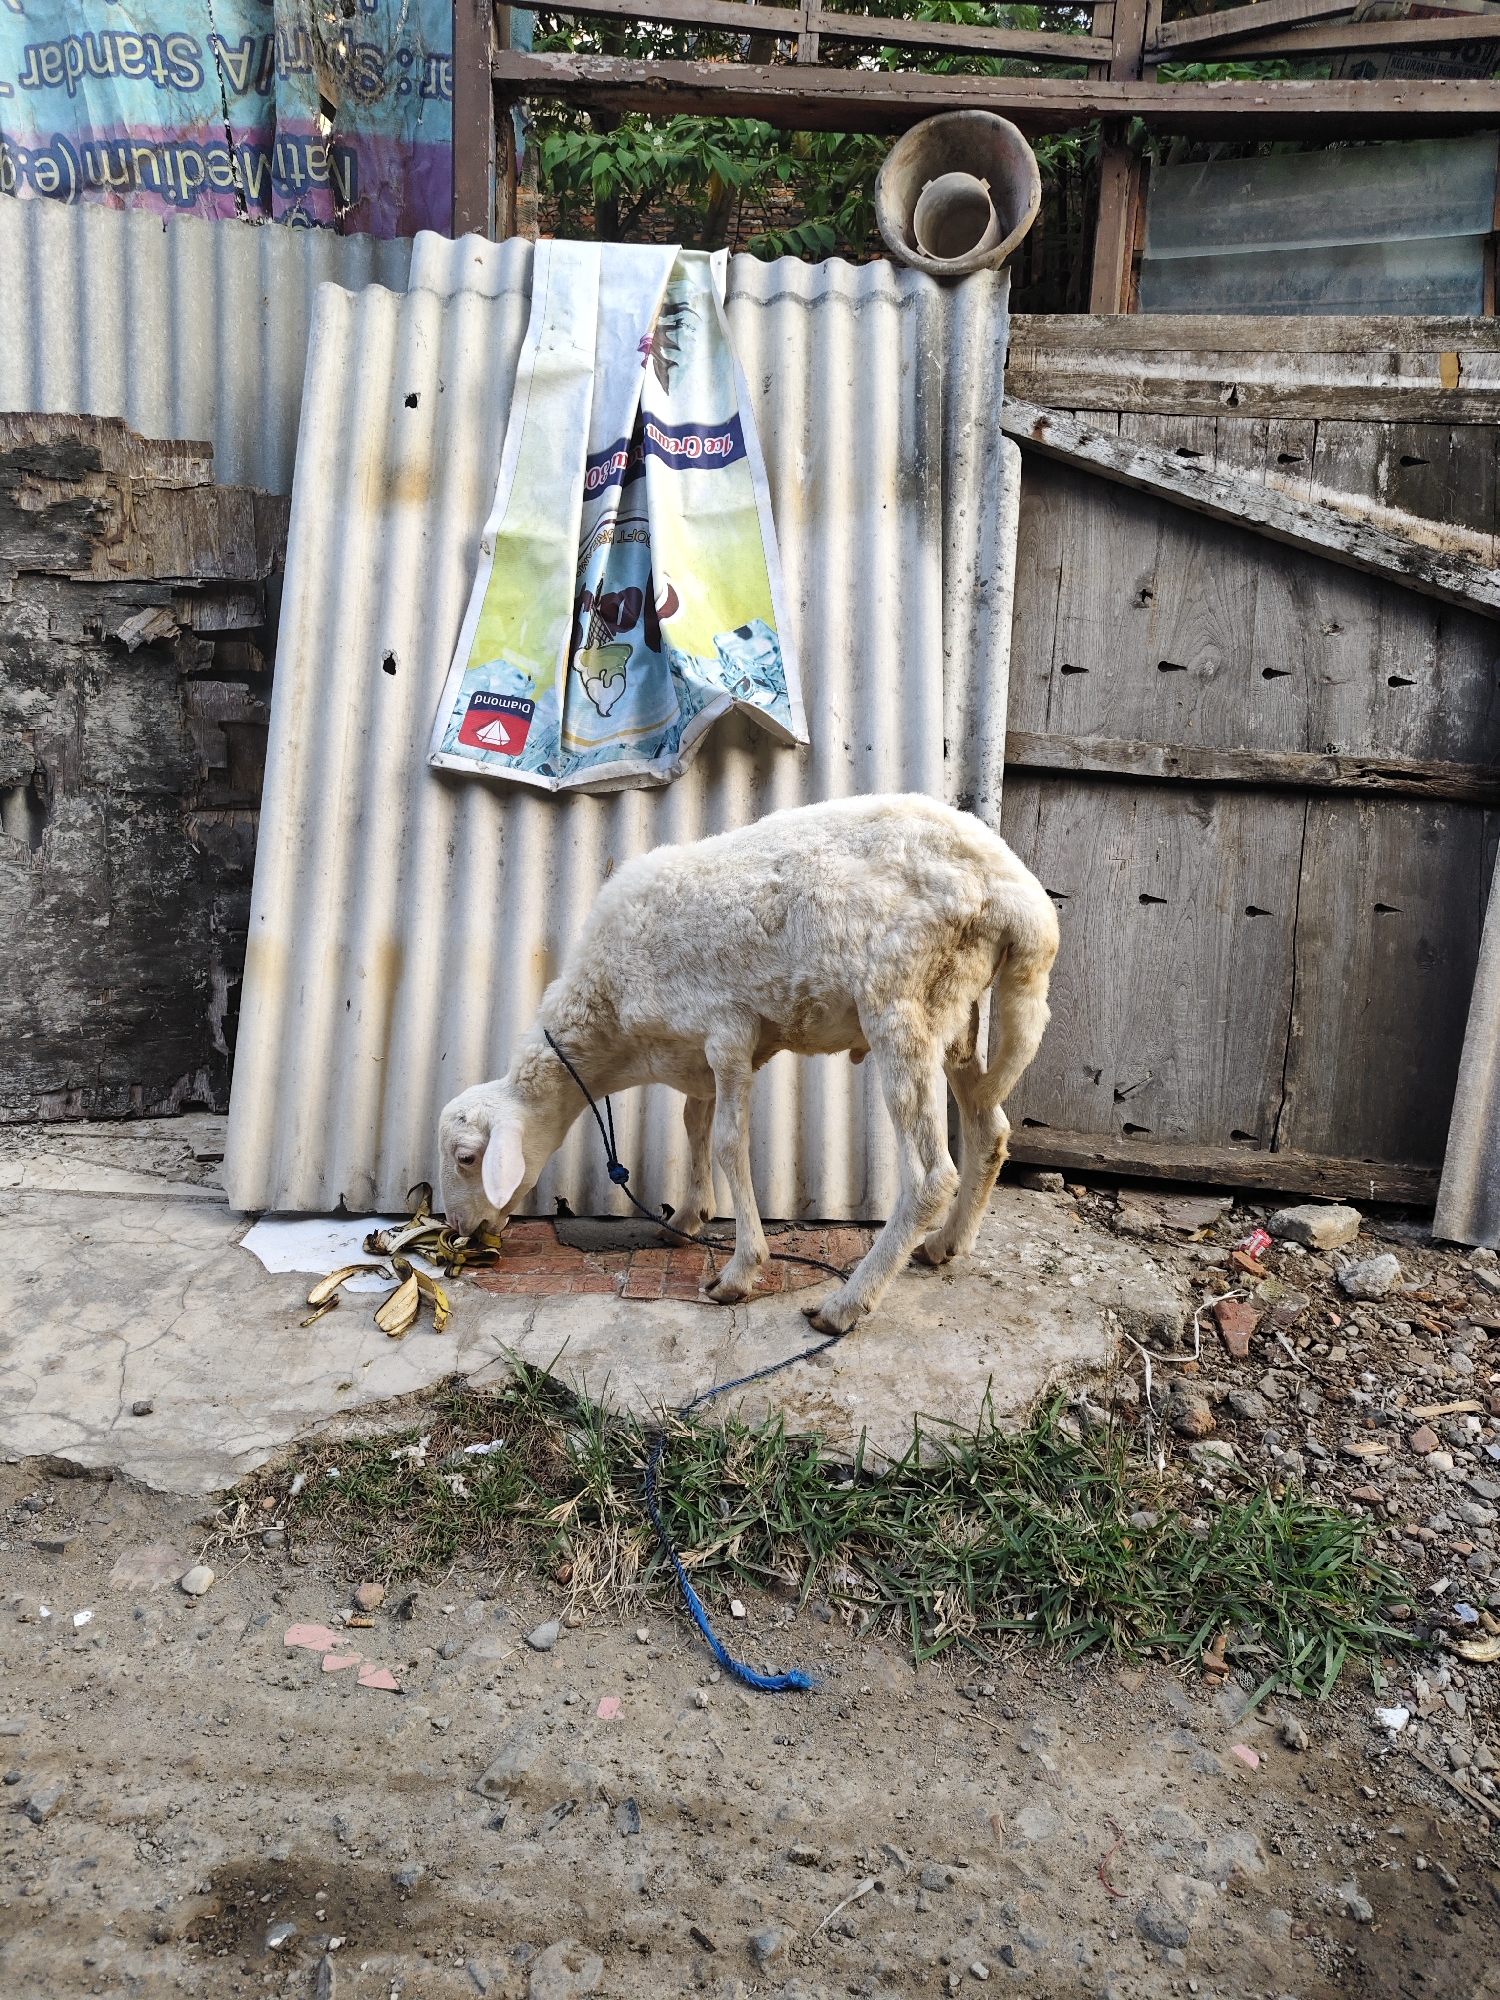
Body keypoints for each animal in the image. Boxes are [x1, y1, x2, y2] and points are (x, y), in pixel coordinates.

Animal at [439, 793, 1059, 1334]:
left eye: (467, 1158)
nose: (458, 1229)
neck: (612, 1019)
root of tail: (1022, 899)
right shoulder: (697, 1055)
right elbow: (694, 1126)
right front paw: (687, 1219)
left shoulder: (728, 1033)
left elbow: (728, 1143)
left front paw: (739, 1271)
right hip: (957, 1012)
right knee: (989, 1130)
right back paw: (945, 1245)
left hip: (902, 1002)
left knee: (931, 1176)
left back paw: (846, 1304)